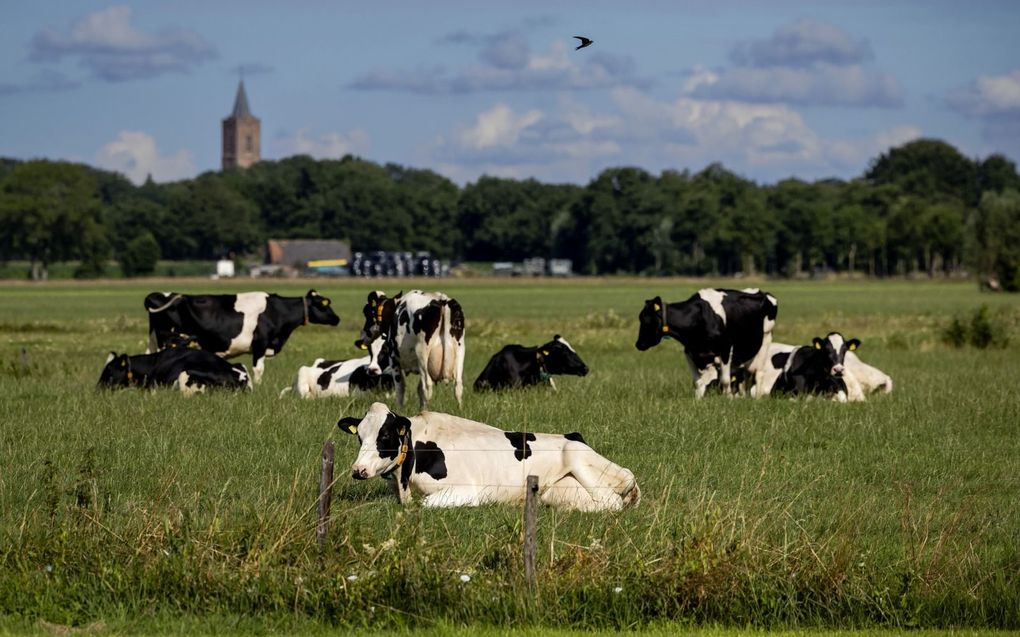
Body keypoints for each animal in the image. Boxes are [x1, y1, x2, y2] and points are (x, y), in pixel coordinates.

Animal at [145, 287, 340, 383]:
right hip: (167, 340)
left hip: (154, 339)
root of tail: (160, 294)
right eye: (324, 305)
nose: (337, 319)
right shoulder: (261, 343)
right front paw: (259, 387)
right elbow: (259, 369)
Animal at [334, 399, 636, 509]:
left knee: (613, 502)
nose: (358, 470)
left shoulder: (465, 489)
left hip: (578, 457)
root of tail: (574, 435)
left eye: (384, 436)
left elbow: (427, 504)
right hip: (558, 491)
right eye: (360, 437)